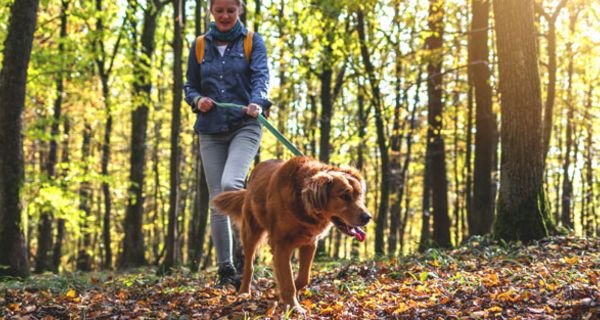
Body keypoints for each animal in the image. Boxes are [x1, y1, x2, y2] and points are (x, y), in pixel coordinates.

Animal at [211, 156, 370, 312]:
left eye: (359, 195)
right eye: (344, 196)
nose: (368, 217)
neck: (302, 203)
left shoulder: (310, 244)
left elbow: (303, 278)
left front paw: (280, 294)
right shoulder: (281, 245)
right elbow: (288, 282)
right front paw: (294, 307)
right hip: (251, 233)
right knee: (249, 266)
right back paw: (244, 292)